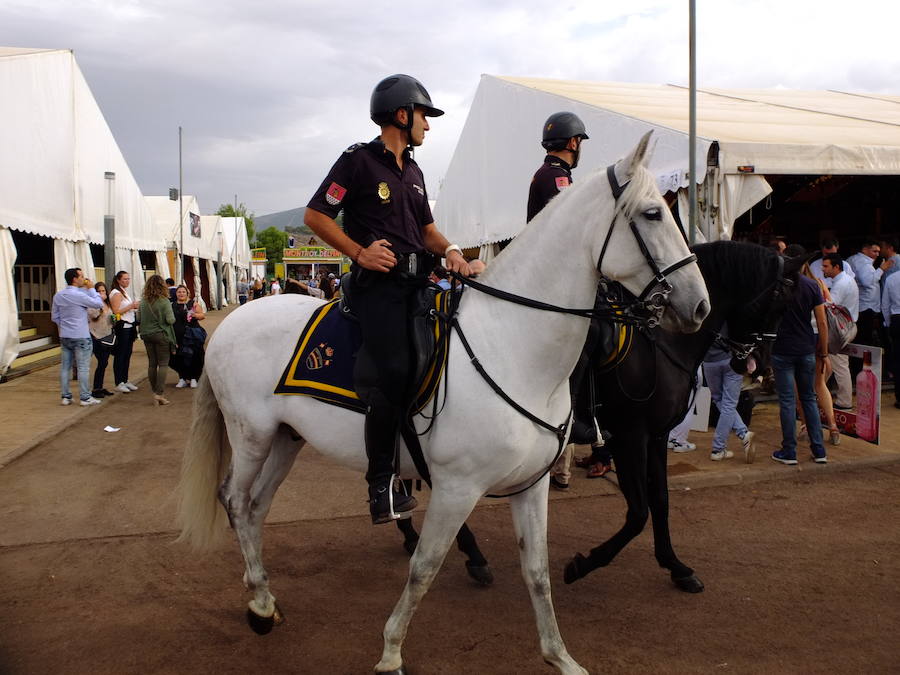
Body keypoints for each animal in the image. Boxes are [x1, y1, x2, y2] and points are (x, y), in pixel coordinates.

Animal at [176, 133, 712, 675]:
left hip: (288, 440)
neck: (513, 345)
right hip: (252, 437)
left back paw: (261, 591)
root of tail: (233, 321)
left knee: (256, 507)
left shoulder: (530, 486)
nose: (699, 306)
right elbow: (425, 567)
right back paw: (261, 605)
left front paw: (559, 655)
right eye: (653, 214)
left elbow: (537, 570)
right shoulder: (458, 487)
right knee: (236, 501)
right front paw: (391, 651)